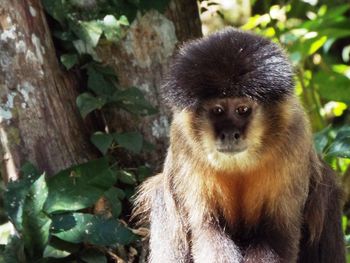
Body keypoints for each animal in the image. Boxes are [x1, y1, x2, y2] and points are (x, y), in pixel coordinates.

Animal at [133, 28, 346, 263]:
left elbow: (279, 234)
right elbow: (206, 228)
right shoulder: (183, 139)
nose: (229, 133)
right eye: (218, 110)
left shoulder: (294, 133)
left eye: (242, 110)